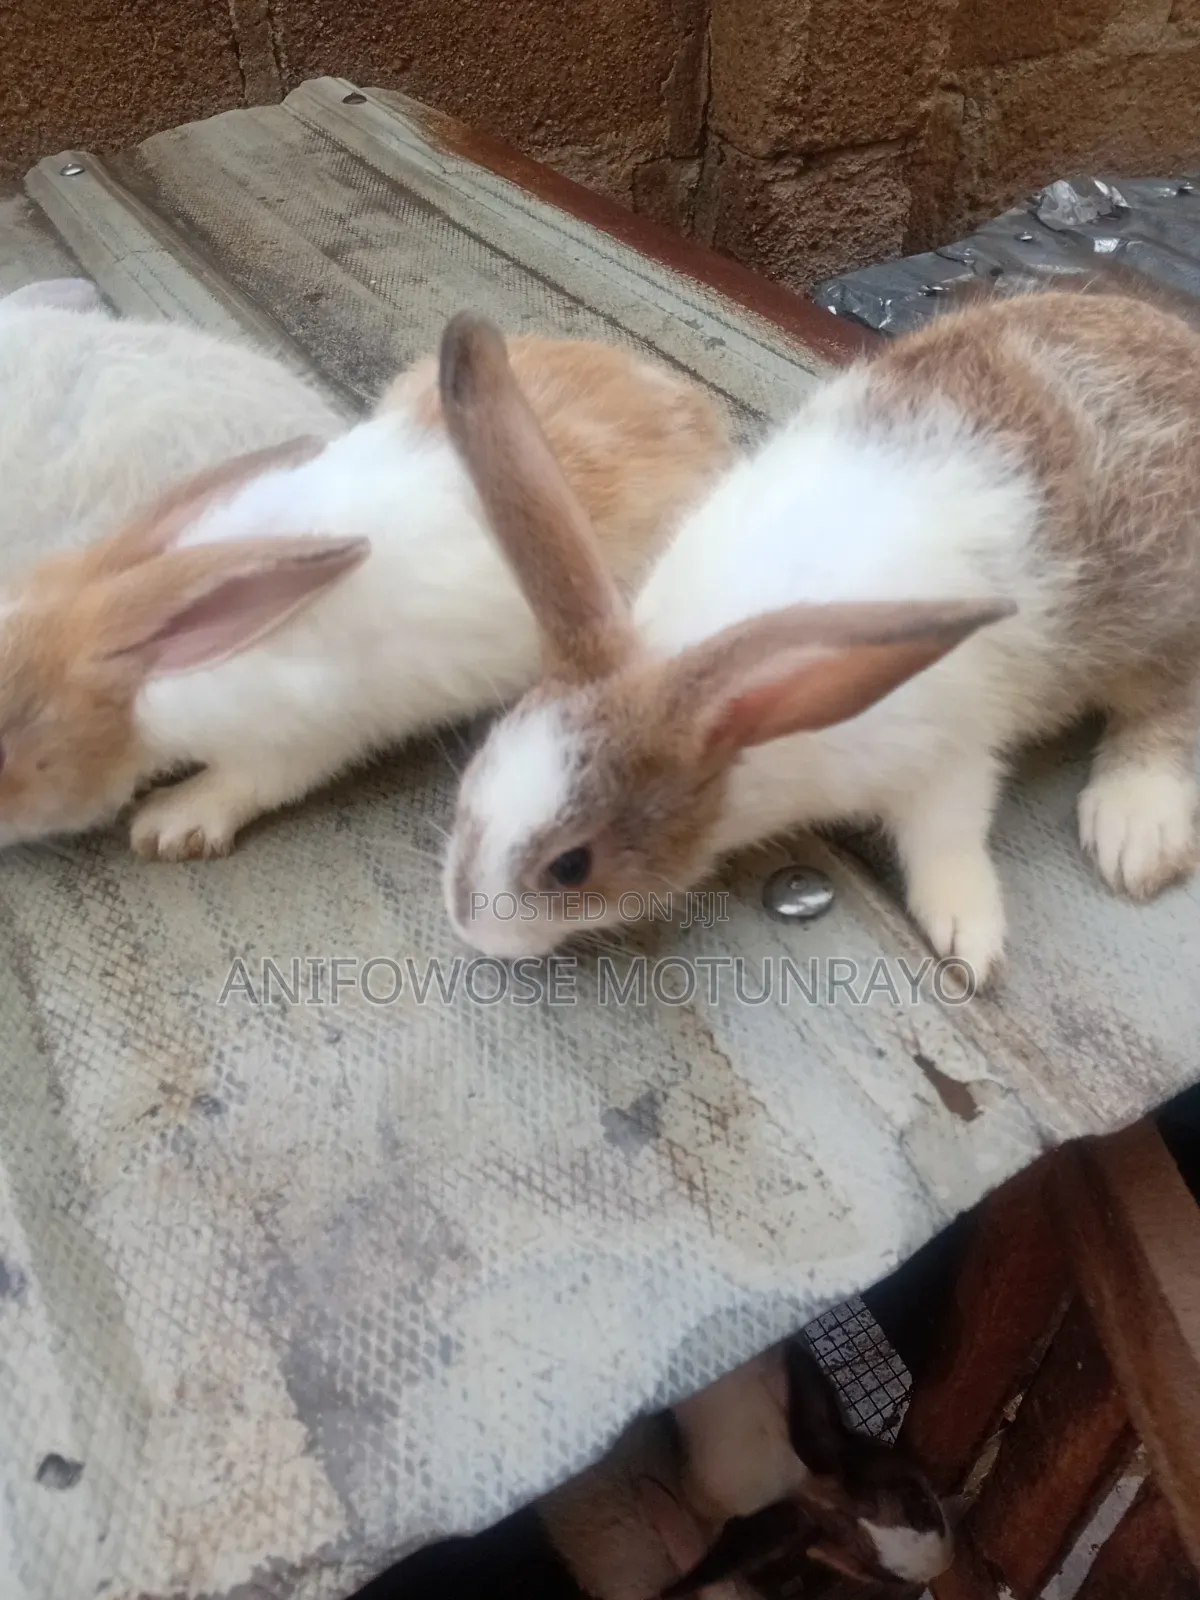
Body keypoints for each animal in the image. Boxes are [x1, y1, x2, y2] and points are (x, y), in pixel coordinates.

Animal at [0, 311, 733, 860]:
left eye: (8, 732)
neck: (157, 671)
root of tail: (693, 407)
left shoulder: (297, 739)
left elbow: (247, 783)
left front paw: (170, 824)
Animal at [437, 288, 1200, 986]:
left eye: (572, 865)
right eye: (470, 782)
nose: (472, 929)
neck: (741, 727)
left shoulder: (945, 753)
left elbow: (948, 836)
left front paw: (968, 935)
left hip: (1160, 629)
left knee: (1167, 711)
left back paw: (1135, 831)